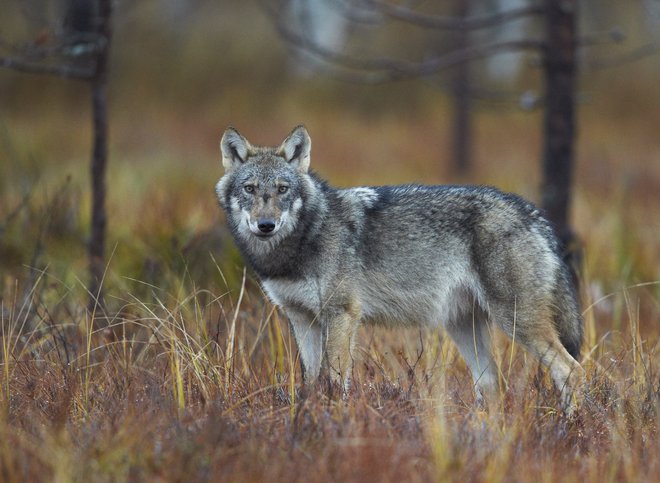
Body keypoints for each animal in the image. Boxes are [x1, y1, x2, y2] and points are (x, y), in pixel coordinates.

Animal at [215, 125, 584, 412]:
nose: (266, 225)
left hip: (516, 322)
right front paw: (308, 418)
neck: (305, 237)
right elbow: (310, 381)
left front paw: (334, 422)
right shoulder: (301, 318)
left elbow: (334, 381)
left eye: (282, 189)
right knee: (492, 387)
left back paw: (571, 429)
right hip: (465, 328)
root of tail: (531, 213)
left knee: (571, 371)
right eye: (250, 189)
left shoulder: (341, 315)